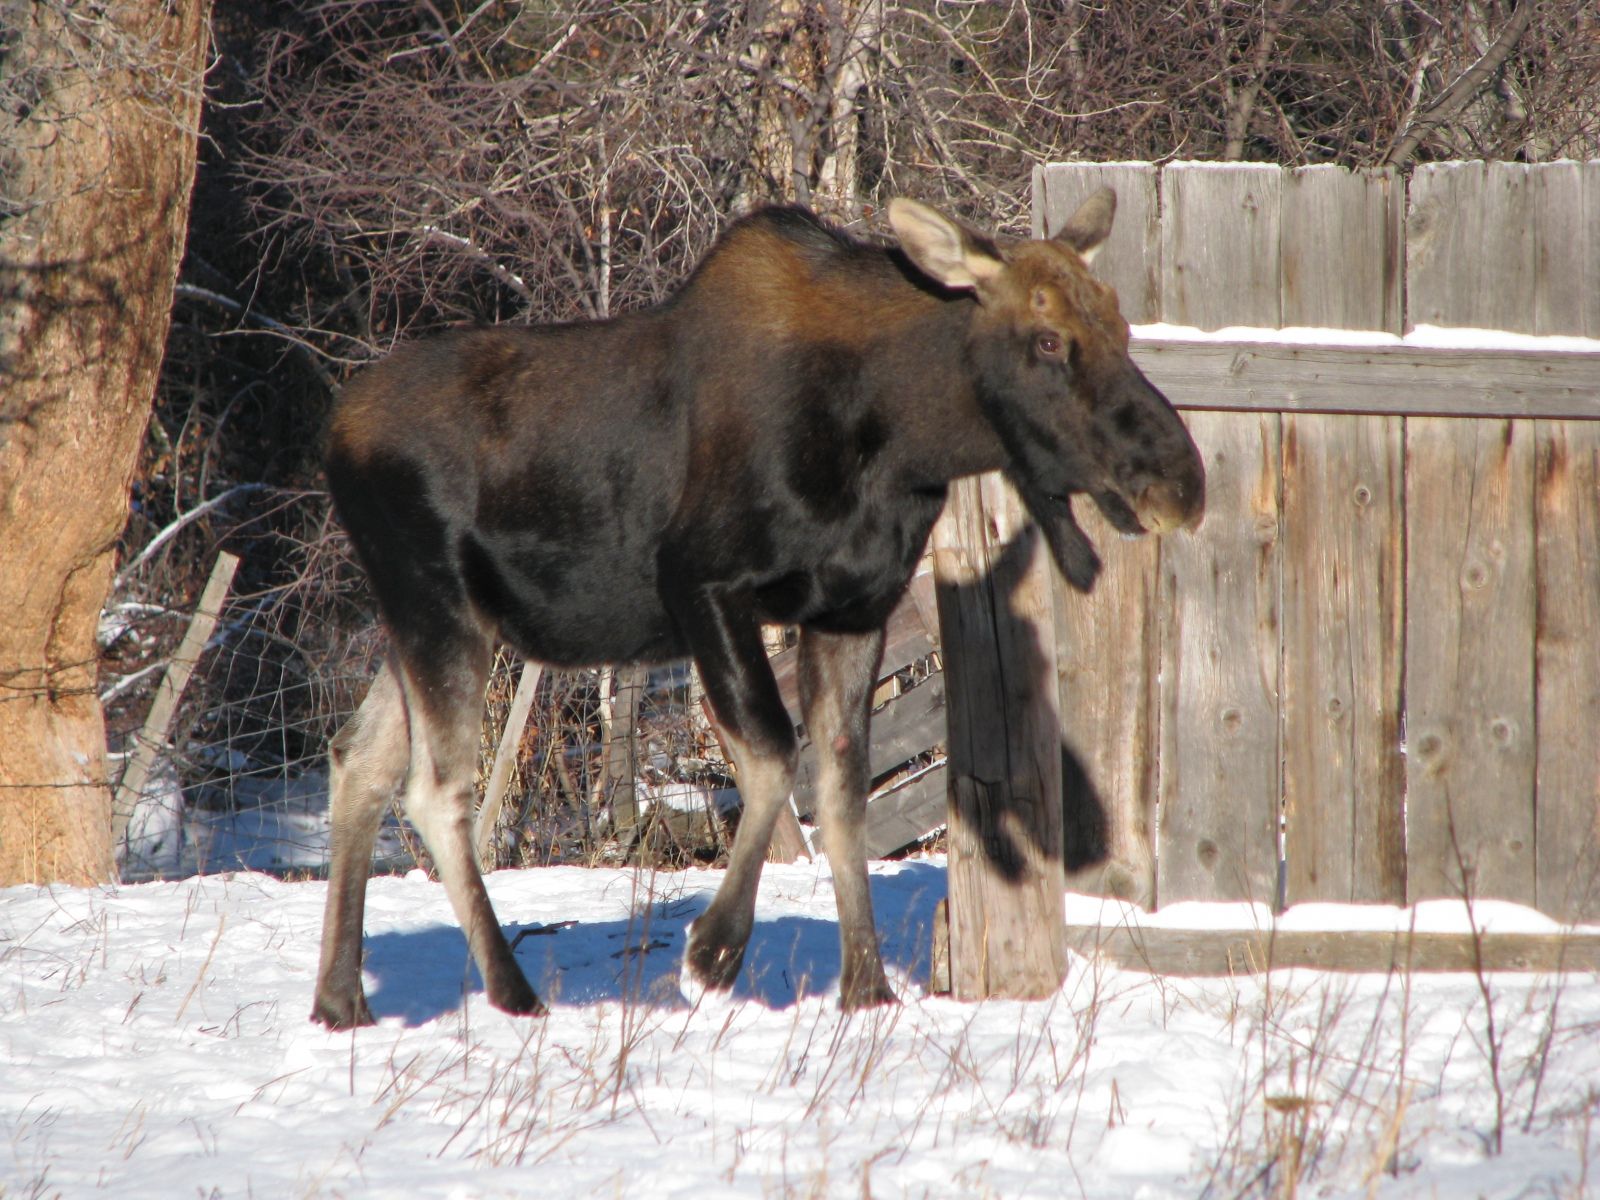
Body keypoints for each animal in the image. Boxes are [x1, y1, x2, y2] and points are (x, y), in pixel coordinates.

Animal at [310, 189, 1205, 1029]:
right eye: (1048, 339)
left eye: (1121, 322)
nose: (1180, 484)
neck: (900, 440)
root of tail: (334, 430)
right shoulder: (701, 582)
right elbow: (774, 755)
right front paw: (712, 949)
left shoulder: (853, 609)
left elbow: (842, 790)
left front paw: (867, 987)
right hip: (437, 602)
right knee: (435, 788)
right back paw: (510, 989)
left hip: (423, 620)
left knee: (356, 758)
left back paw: (340, 998)